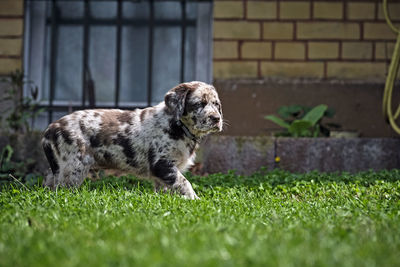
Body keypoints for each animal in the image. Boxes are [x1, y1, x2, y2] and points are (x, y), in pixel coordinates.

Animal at [42, 81, 223, 199]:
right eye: (199, 104)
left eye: (216, 104)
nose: (216, 119)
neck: (177, 125)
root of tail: (51, 129)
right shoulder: (162, 163)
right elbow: (184, 182)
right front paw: (195, 200)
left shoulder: (163, 172)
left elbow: (167, 188)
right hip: (73, 167)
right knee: (62, 190)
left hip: (59, 169)